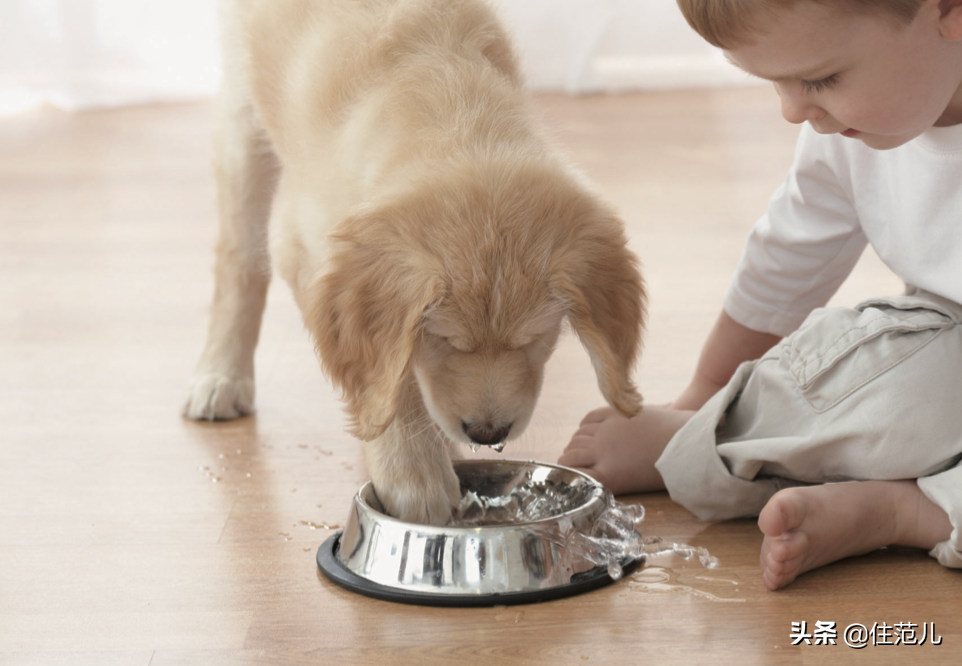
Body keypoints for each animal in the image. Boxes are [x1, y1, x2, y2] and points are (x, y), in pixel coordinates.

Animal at [184, 0, 644, 524]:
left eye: (536, 338)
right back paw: (221, 375)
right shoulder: (305, 247)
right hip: (243, 109)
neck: (446, 93)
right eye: (442, 339)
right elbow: (392, 376)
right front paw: (415, 475)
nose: (488, 434)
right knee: (238, 257)